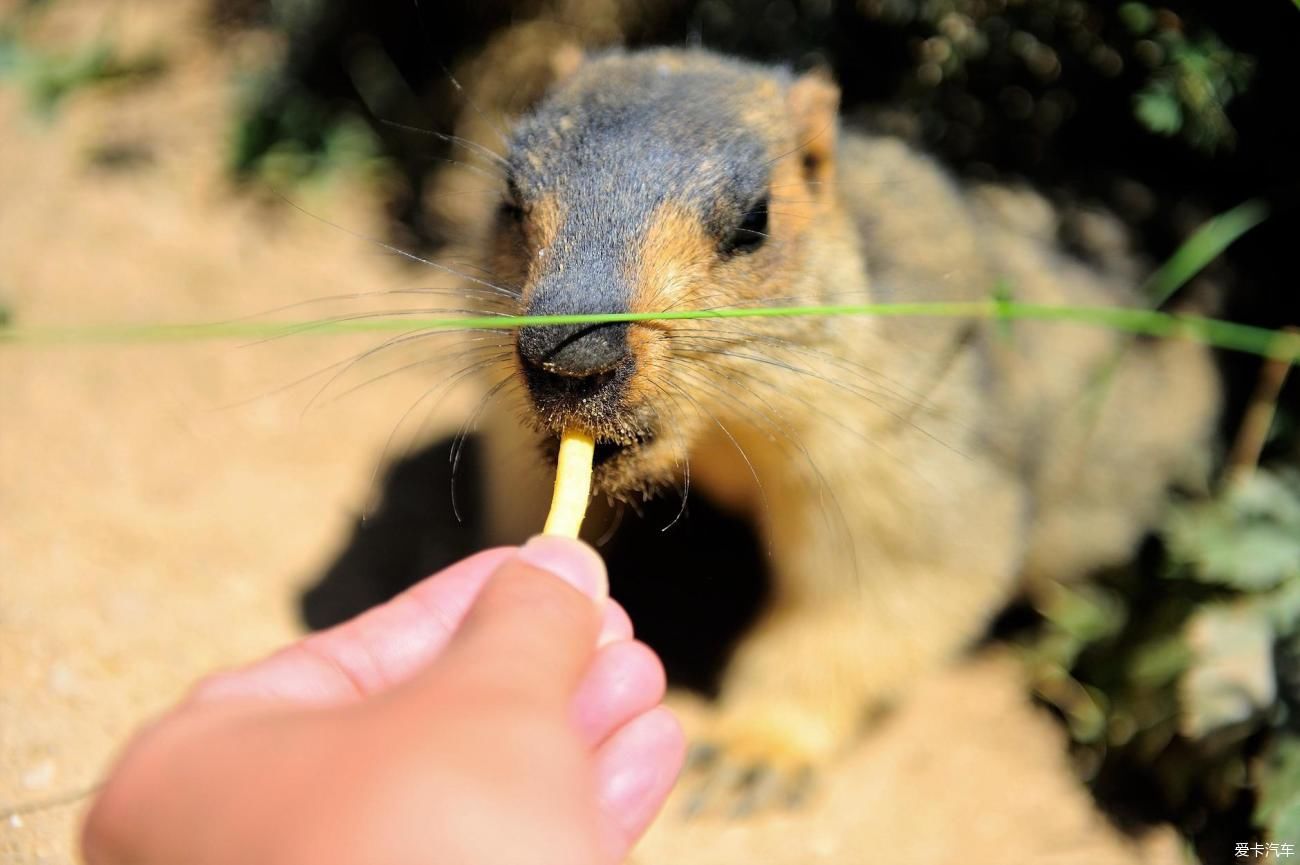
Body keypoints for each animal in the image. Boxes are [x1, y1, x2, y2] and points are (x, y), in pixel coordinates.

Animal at [434, 45, 1216, 801]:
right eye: (509, 201)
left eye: (756, 221)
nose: (570, 354)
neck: (721, 430)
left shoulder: (902, 451)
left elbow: (881, 586)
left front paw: (752, 755)